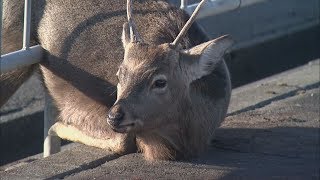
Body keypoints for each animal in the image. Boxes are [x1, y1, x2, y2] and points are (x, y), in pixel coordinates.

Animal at [1, 0, 234, 160]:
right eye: (119, 74)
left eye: (160, 81)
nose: (114, 116)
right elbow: (123, 142)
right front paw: (58, 126)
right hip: (13, 39)